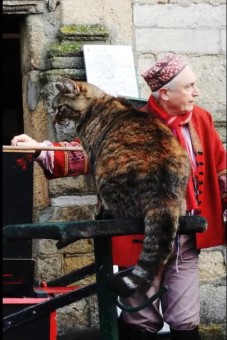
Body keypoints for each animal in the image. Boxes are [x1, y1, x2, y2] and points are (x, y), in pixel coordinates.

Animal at [52, 77, 191, 298]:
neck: (96, 104)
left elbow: (97, 199)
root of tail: (163, 196)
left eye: (60, 108)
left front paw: (96, 212)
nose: (53, 119)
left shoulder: (93, 159)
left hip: (104, 170)